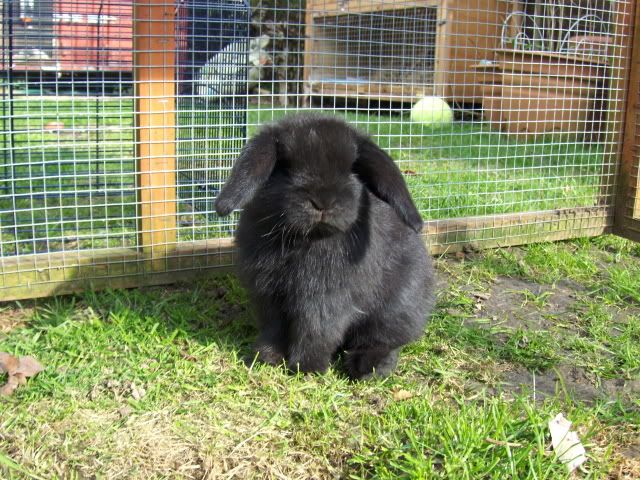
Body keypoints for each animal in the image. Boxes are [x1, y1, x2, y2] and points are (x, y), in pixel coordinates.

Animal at [215, 113, 436, 378]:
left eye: (352, 170)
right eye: (286, 167)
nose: (323, 202)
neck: (307, 239)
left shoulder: (327, 299)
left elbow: (316, 330)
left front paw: (307, 368)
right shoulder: (269, 295)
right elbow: (274, 328)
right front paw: (265, 357)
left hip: (394, 310)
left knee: (384, 340)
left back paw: (368, 368)